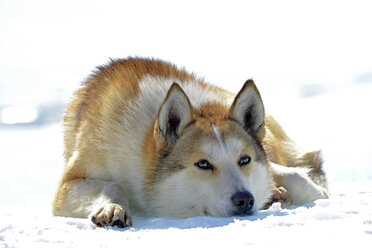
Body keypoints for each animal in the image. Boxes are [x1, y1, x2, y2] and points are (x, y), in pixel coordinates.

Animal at [53, 57, 328, 228]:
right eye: (203, 164)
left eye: (245, 160)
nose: (245, 200)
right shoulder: (67, 187)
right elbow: (113, 186)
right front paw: (113, 209)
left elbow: (297, 178)